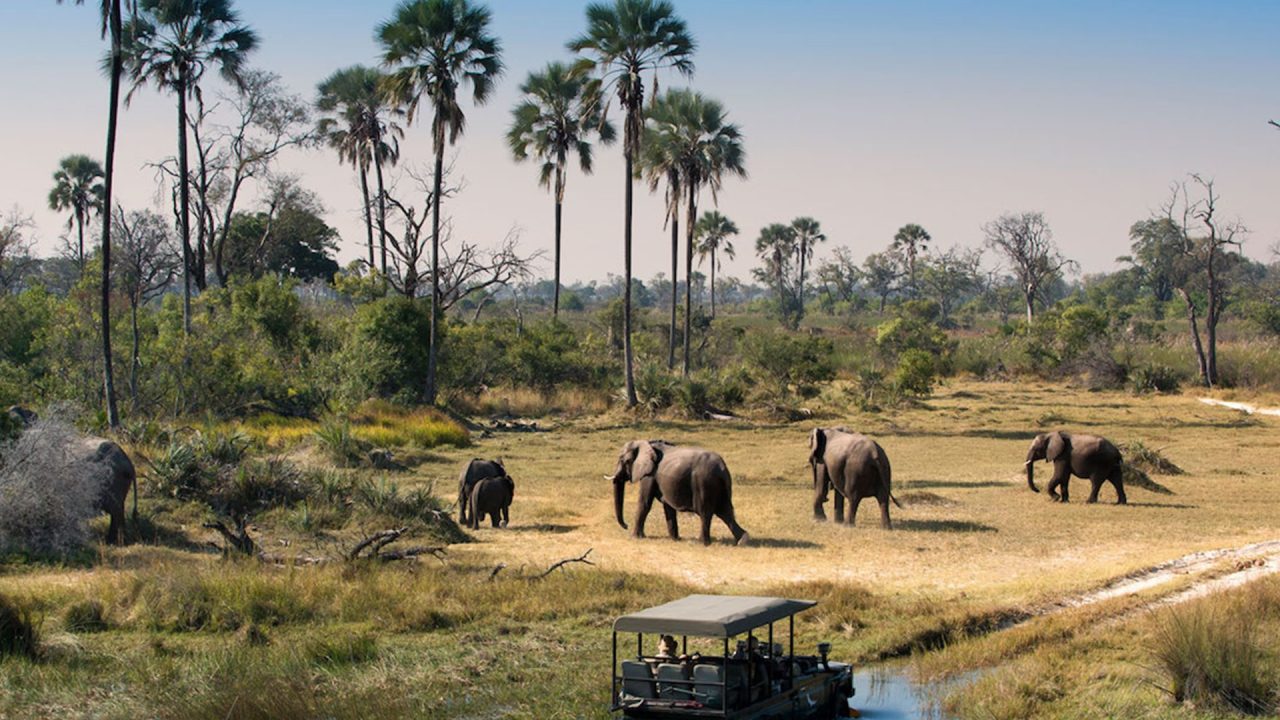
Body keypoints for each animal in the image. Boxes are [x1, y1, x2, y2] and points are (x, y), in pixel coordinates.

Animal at [604, 439, 749, 546]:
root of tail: (722, 467)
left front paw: (634, 537)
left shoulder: (650, 474)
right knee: (725, 512)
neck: (647, 443)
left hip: (704, 482)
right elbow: (668, 507)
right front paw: (675, 539)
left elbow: (644, 503)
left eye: (624, 460)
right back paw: (742, 541)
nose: (626, 526)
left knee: (705, 513)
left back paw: (700, 543)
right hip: (721, 486)